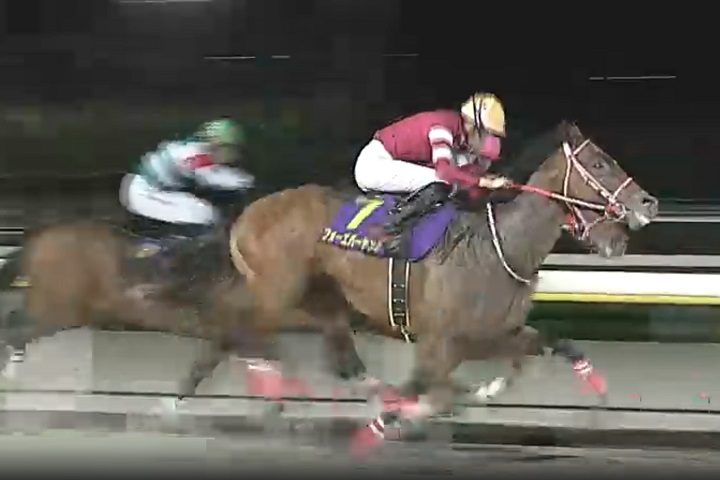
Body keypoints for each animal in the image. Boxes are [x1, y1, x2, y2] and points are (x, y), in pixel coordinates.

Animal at [226, 121, 659, 450]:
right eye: (600, 163)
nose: (648, 203)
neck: (499, 246)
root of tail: (248, 215)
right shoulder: (442, 340)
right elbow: (437, 390)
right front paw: (399, 418)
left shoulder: (490, 335)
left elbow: (543, 348)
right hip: (279, 293)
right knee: (248, 334)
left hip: (327, 301)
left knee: (341, 360)